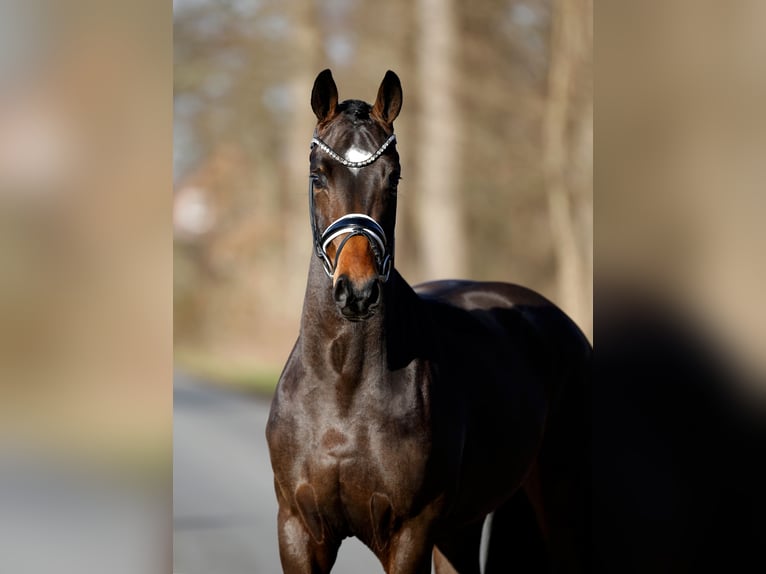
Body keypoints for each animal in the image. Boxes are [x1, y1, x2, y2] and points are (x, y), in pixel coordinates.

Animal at [266, 69, 591, 574]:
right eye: (318, 175)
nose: (357, 292)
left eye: (393, 177)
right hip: (461, 528)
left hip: (563, 509)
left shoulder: (408, 537)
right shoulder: (299, 533)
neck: (343, 389)